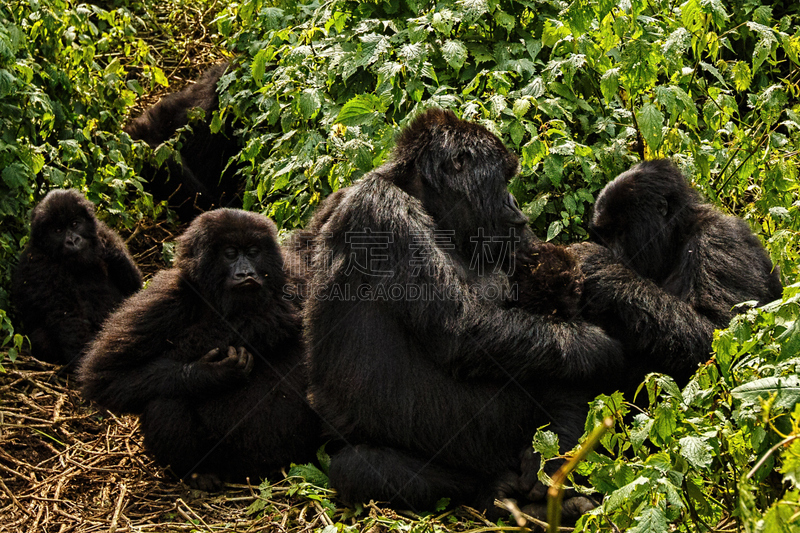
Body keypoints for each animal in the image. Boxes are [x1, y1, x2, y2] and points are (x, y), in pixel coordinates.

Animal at [11, 189, 143, 368]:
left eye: (74, 224)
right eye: (58, 230)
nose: (73, 240)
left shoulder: (106, 232)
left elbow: (134, 289)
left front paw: (110, 250)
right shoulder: (39, 266)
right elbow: (68, 317)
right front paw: (84, 361)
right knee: (41, 336)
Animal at [78, 208, 318, 490]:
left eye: (253, 252)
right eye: (230, 253)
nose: (246, 273)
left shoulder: (298, 278)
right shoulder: (164, 296)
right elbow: (106, 375)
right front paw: (211, 372)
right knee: (165, 396)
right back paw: (196, 473)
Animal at [304, 109, 620, 520]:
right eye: (503, 178)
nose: (515, 202)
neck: (423, 199)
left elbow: (548, 272)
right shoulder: (384, 213)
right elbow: (462, 332)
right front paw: (599, 348)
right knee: (359, 467)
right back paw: (500, 493)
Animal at [572, 159, 784, 390]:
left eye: (620, 232)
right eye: (605, 235)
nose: (612, 253)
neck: (678, 237)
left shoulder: (720, 240)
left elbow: (723, 335)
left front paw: (600, 267)